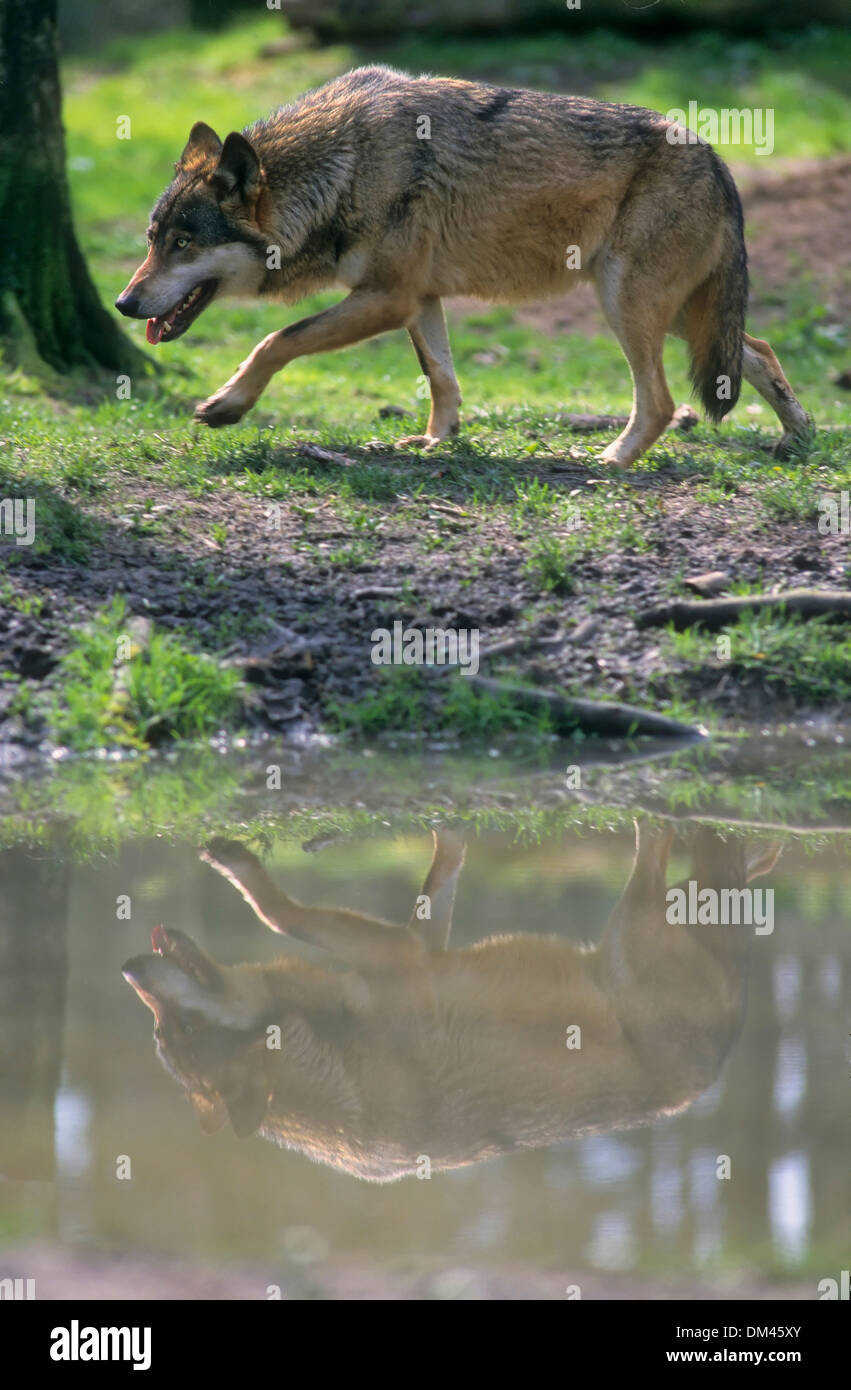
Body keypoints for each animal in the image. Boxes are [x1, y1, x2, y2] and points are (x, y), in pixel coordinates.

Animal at [114, 66, 811, 467]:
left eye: (184, 243)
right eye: (152, 240)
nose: (123, 304)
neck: (340, 168)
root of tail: (718, 158)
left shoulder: (387, 297)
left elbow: (274, 340)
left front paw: (227, 405)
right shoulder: (418, 299)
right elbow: (441, 378)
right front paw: (437, 441)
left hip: (626, 305)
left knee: (664, 401)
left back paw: (609, 462)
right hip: (674, 313)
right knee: (760, 349)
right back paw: (798, 438)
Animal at [122, 825, 780, 1182]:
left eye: (183, 1027)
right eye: (163, 1035)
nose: (128, 970)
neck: (329, 1061)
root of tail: (720, 1056)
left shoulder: (407, 956)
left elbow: (276, 913)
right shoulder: (415, 951)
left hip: (640, 915)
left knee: (667, 840)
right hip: (657, 910)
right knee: (699, 853)